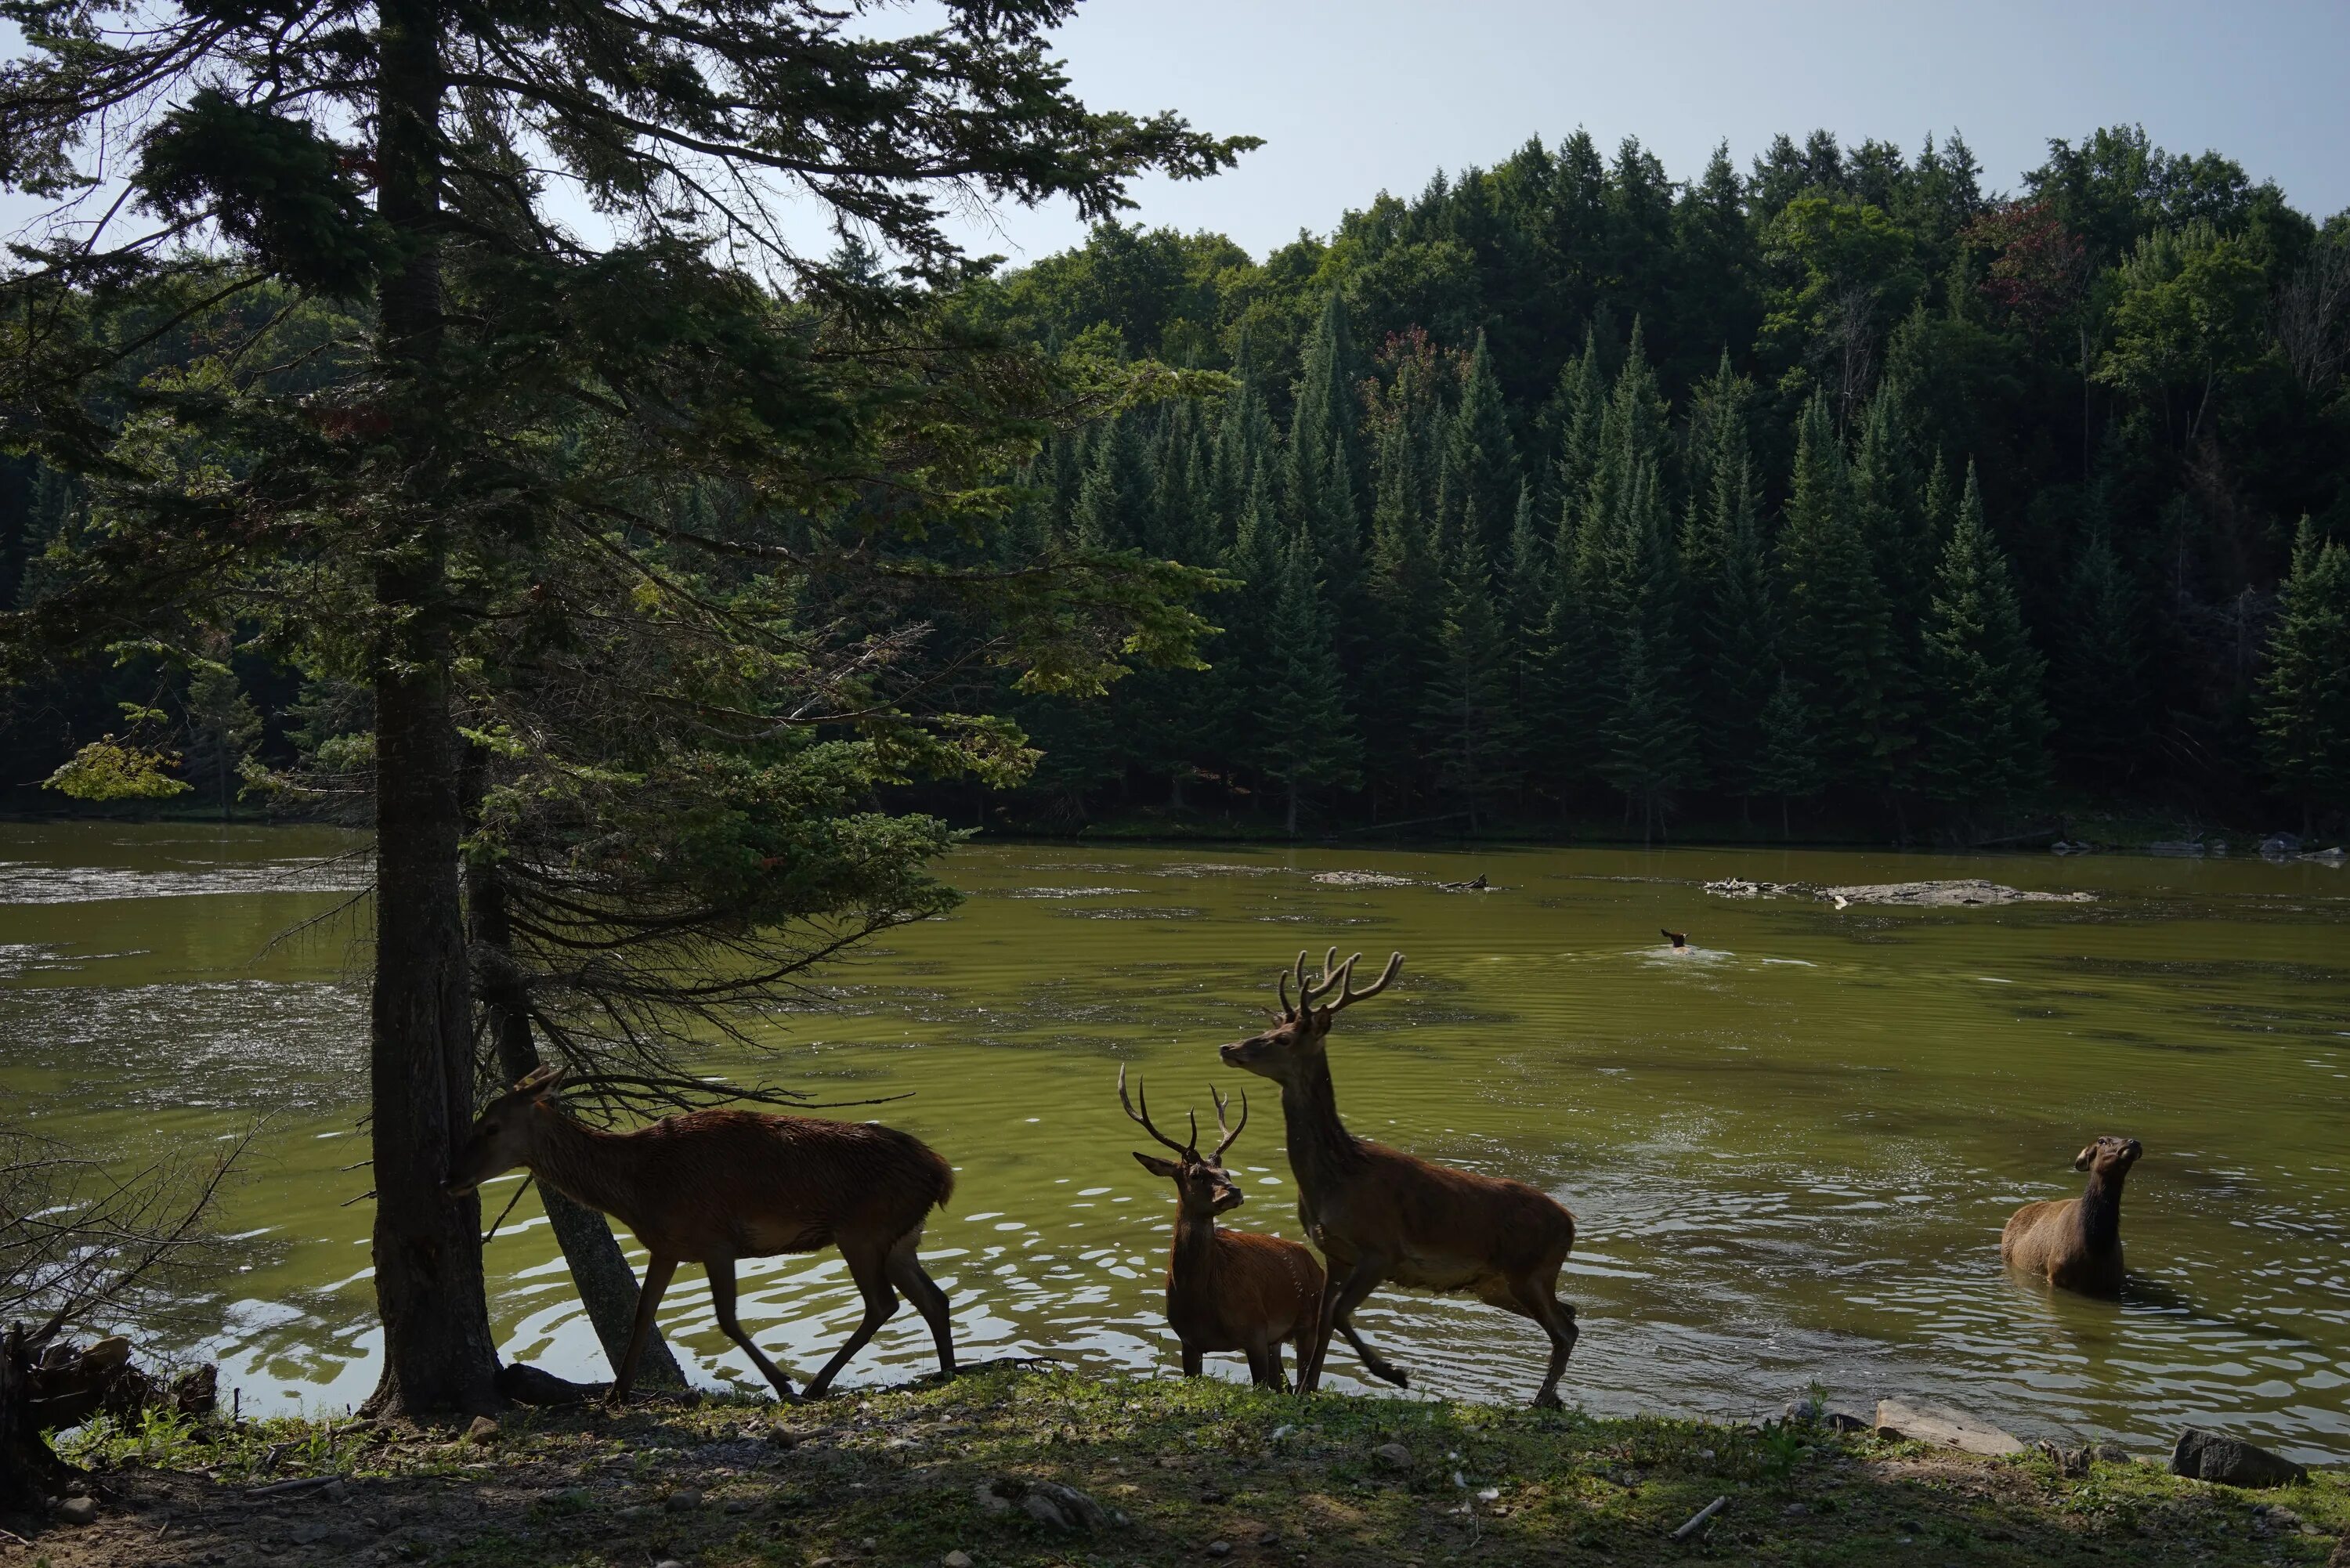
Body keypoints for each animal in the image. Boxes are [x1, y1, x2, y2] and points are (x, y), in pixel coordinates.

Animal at [442, 1071, 954, 1400]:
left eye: (490, 1126)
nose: (450, 1179)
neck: (636, 1189)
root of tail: (941, 1174)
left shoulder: (714, 1239)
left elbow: (726, 1318)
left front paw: (782, 1384)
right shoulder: (668, 1247)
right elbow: (642, 1313)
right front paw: (616, 1394)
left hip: (862, 1232)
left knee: (883, 1304)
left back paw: (815, 1384)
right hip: (900, 1240)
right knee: (934, 1298)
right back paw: (947, 1371)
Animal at [1119, 1067, 1325, 1382]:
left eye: (1226, 1172)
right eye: (1195, 1174)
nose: (1233, 1191)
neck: (1201, 1304)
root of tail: (1316, 1266)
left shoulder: (1254, 1330)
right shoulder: (1188, 1341)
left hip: (1309, 1322)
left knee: (1305, 1382)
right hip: (1277, 1339)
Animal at [1213, 959, 1579, 1410]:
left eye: (1282, 1039)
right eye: (1269, 1029)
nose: (1228, 1048)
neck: (1334, 1177)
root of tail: (1570, 1224)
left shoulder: (1381, 1249)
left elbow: (1338, 1313)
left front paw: (1393, 1373)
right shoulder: (1335, 1252)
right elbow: (1323, 1319)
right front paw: (1306, 1389)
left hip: (1529, 1270)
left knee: (1564, 1329)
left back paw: (1541, 1400)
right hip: (1500, 1284)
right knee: (1572, 1315)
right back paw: (1553, 1397)